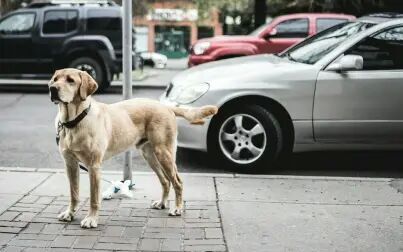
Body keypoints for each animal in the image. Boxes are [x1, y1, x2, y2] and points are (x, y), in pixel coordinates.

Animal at [49, 68, 219, 228]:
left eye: (70, 80)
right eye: (55, 79)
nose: (52, 88)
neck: (74, 122)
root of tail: (166, 107)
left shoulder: (94, 166)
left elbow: (94, 198)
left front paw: (91, 219)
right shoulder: (70, 164)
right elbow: (74, 193)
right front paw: (70, 213)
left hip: (164, 153)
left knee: (177, 182)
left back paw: (177, 208)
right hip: (150, 156)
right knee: (165, 181)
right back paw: (162, 203)